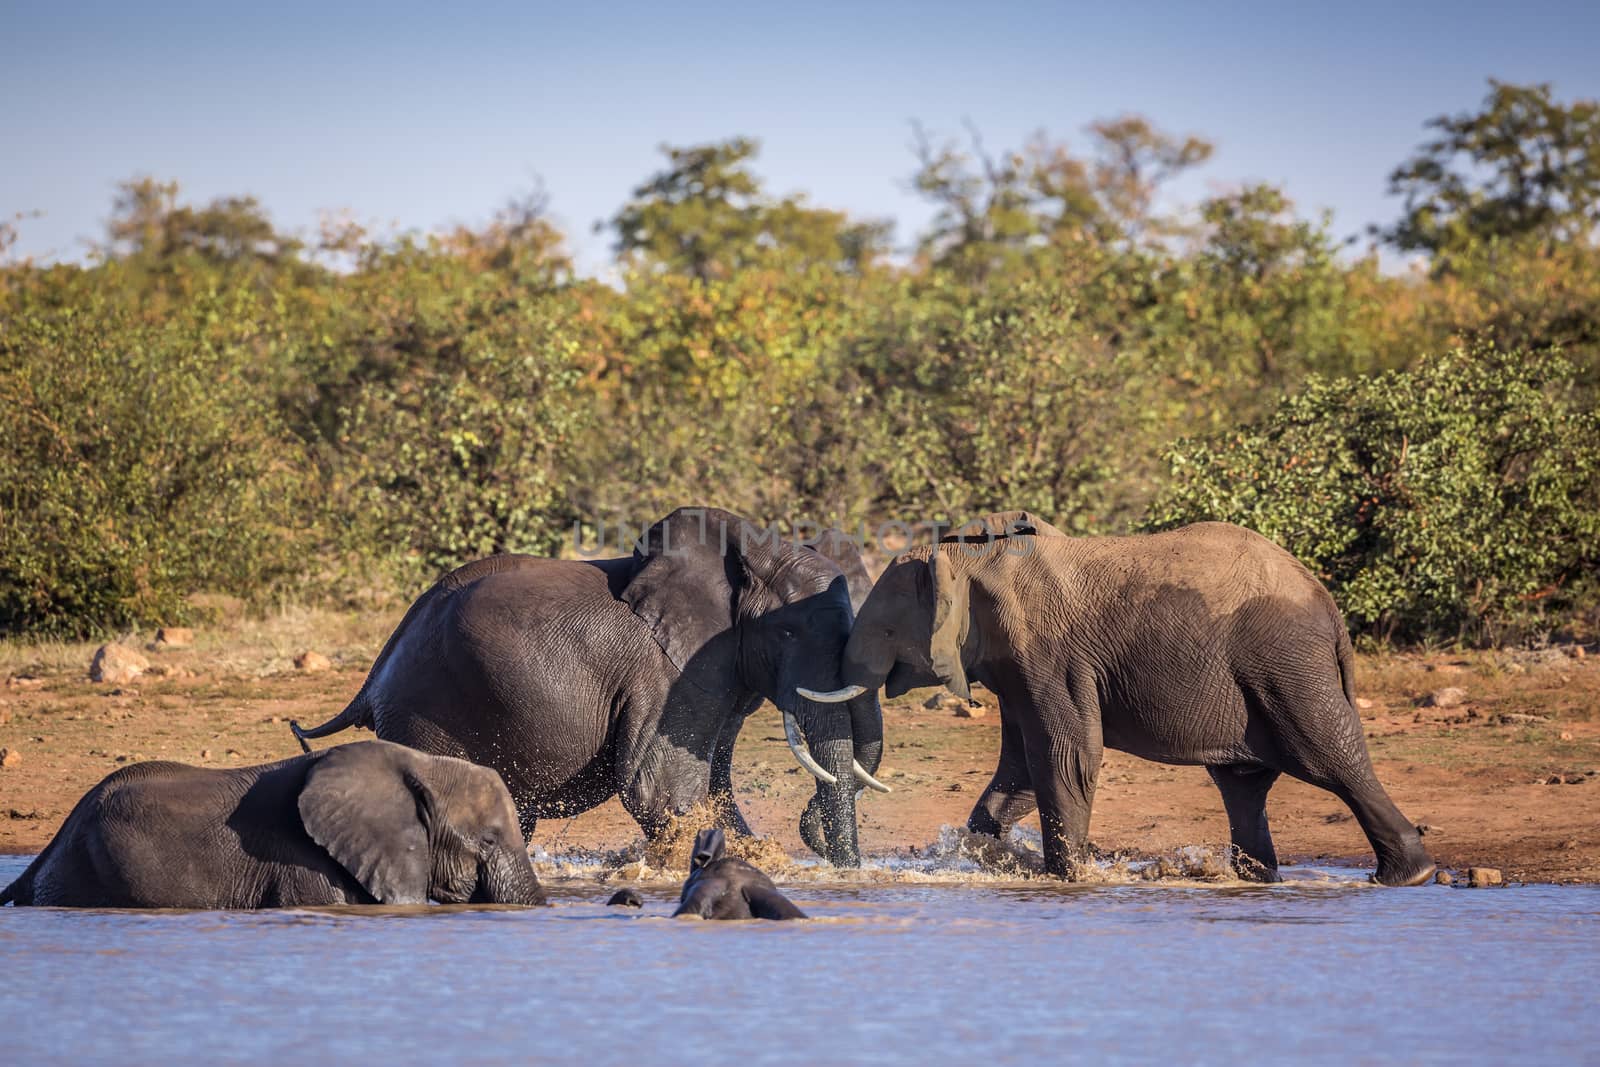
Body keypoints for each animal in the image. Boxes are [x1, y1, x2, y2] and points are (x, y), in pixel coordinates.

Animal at [291, 508, 889, 870]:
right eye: (788, 632)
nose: (836, 861)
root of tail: (377, 668)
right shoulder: (668, 673)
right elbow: (660, 792)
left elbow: (711, 782)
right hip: (424, 711)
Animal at [825, 515, 1440, 883]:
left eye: (884, 631)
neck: (969, 557)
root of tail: (1326, 600)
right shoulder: (1015, 666)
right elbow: (1020, 770)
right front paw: (988, 859)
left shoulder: (1047, 654)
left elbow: (1066, 757)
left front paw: (1066, 878)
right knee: (1244, 786)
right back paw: (1256, 879)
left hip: (1287, 666)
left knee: (1329, 758)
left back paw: (1403, 877)